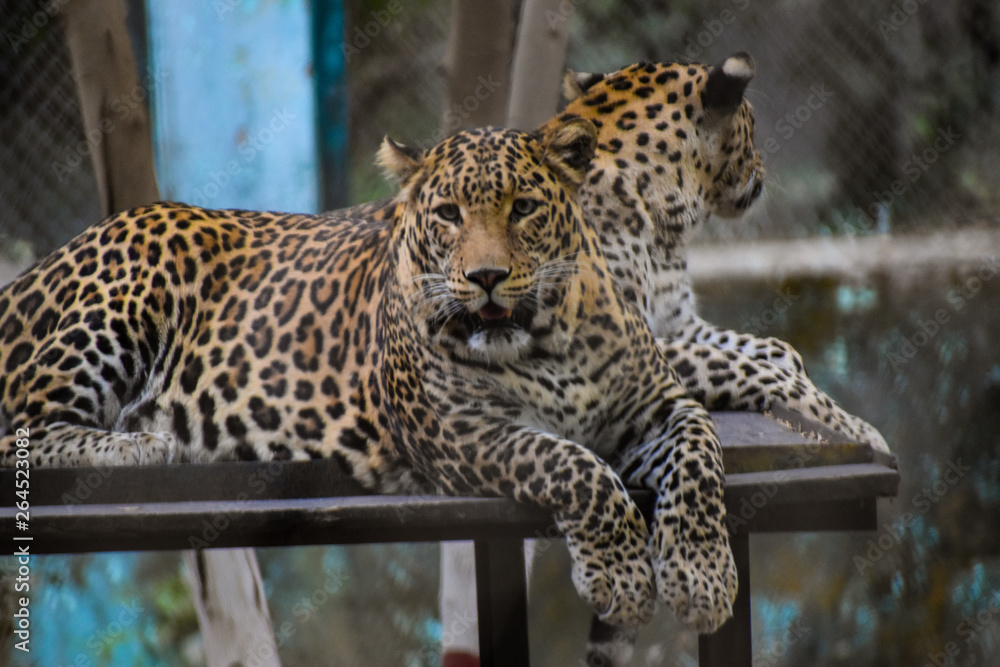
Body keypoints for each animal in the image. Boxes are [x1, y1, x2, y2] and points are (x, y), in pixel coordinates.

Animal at [0, 120, 737, 634]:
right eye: (448, 215)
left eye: (524, 207)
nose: (486, 276)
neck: (542, 341)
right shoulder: (465, 434)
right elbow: (575, 467)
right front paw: (623, 575)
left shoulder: (661, 405)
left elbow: (702, 459)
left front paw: (701, 575)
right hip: (128, 283)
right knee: (20, 433)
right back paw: (141, 444)